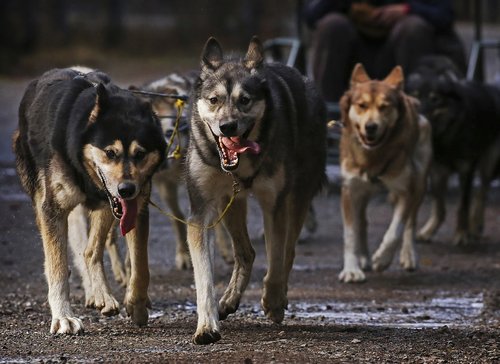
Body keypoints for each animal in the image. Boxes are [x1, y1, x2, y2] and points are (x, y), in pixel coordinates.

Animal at [12, 67, 165, 334]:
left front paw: (136, 304)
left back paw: (100, 294)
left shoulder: (136, 209)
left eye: (140, 154)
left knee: (90, 250)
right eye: (110, 153)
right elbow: (58, 267)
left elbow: (140, 266)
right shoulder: (53, 210)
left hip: (105, 208)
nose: (127, 190)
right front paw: (63, 317)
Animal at [185, 37, 328, 344]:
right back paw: (228, 300)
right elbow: (204, 277)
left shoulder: (274, 205)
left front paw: (273, 301)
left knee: (288, 252)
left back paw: (279, 296)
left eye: (245, 100)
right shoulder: (200, 213)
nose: (227, 126)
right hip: (230, 204)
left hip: (297, 199)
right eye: (214, 100)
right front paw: (206, 325)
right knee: (246, 253)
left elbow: (275, 258)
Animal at [338, 64, 432, 282]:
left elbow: (395, 231)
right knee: (362, 222)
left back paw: (408, 255)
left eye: (384, 106)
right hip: (363, 191)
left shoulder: (406, 190)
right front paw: (352, 269)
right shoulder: (350, 190)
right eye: (362, 105)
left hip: (420, 181)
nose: (370, 127)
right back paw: (363, 257)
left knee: (411, 221)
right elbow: (350, 233)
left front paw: (382, 259)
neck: (373, 156)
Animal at [408, 56, 500, 245]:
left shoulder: (466, 170)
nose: (419, 120)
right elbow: (439, 206)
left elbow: (462, 206)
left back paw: (475, 226)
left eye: (435, 99)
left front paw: (462, 234)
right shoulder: (437, 171)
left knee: (482, 193)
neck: (446, 136)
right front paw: (429, 230)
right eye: (415, 97)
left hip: (490, 161)